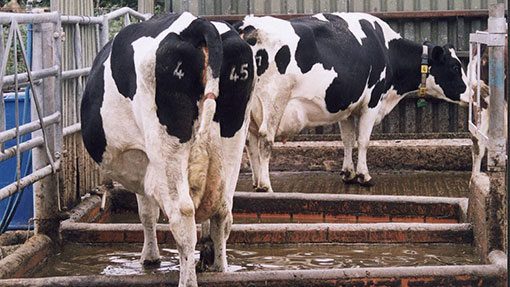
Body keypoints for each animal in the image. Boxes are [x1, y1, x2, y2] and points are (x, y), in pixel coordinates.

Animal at [81, 12, 253, 286]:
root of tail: (199, 24)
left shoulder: (144, 164)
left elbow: (146, 213)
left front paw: (150, 258)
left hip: (166, 151)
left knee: (182, 215)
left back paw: (187, 280)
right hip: (233, 140)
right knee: (223, 212)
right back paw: (219, 268)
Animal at [237, 12, 472, 191]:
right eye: (455, 67)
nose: (471, 95)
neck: (385, 49)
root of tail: (249, 26)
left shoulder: (346, 105)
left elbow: (348, 140)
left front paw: (348, 173)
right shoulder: (372, 101)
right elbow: (364, 140)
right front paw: (364, 176)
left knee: (250, 142)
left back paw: (256, 183)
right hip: (274, 100)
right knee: (265, 139)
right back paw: (265, 186)